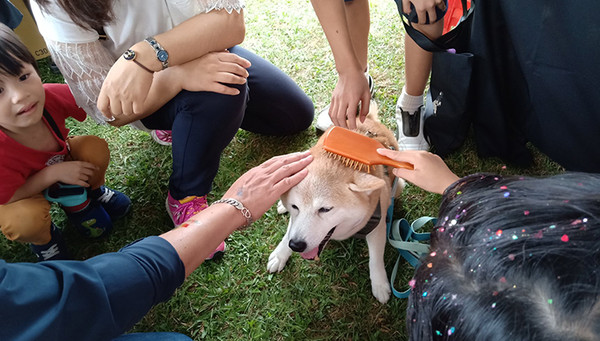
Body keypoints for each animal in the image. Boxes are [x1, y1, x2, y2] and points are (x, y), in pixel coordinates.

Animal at [268, 104, 404, 302]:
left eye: (325, 209)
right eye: (295, 207)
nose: (296, 246)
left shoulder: (378, 225)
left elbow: (375, 258)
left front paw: (379, 284)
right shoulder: (295, 221)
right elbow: (288, 232)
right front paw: (280, 254)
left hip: (399, 185)